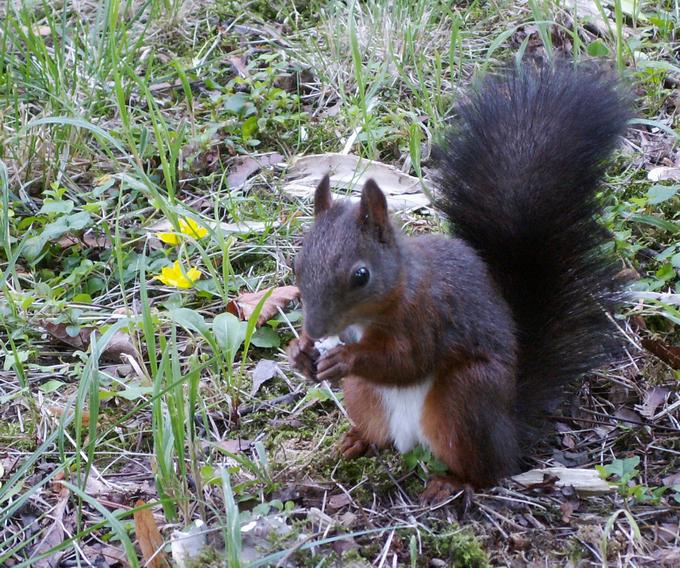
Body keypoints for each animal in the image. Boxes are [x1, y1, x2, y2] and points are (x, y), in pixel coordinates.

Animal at [286, 64, 632, 504]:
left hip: (465, 400)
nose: (315, 329)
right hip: (364, 396)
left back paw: (454, 482)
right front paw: (299, 352)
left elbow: (407, 361)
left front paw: (344, 358)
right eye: (298, 264)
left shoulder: (429, 314)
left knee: (492, 470)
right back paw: (357, 439)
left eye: (361, 276)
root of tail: (510, 426)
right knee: (378, 431)